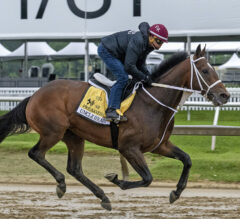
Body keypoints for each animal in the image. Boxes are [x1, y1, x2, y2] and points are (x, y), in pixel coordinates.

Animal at [0, 44, 230, 210]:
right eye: (205, 70)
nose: (224, 95)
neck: (154, 103)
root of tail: (34, 96)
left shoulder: (160, 146)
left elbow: (187, 160)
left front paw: (176, 193)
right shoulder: (128, 147)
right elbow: (147, 178)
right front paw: (117, 180)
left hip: (74, 136)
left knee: (74, 168)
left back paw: (101, 196)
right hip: (52, 132)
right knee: (36, 153)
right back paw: (61, 184)